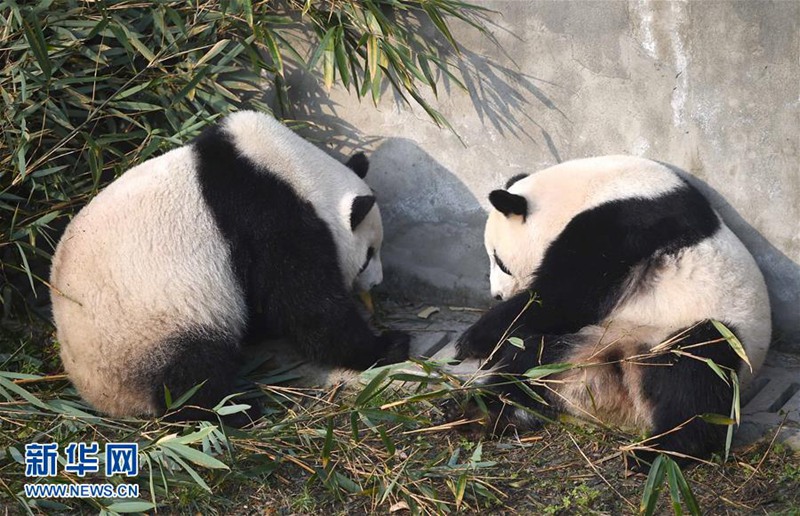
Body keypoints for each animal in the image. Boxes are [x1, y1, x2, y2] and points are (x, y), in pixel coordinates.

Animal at [49, 110, 410, 424]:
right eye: (369, 254)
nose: (376, 283)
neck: (293, 170)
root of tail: (101, 398)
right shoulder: (268, 219)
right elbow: (308, 308)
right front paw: (388, 345)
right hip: (154, 328)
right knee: (192, 376)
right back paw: (238, 411)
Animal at [454, 155, 772, 466]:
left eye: (500, 262)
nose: (497, 295)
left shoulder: (623, 223)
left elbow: (565, 298)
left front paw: (473, 339)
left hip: (701, 330)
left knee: (697, 376)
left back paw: (659, 452)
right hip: (582, 345)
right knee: (529, 364)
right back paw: (478, 414)